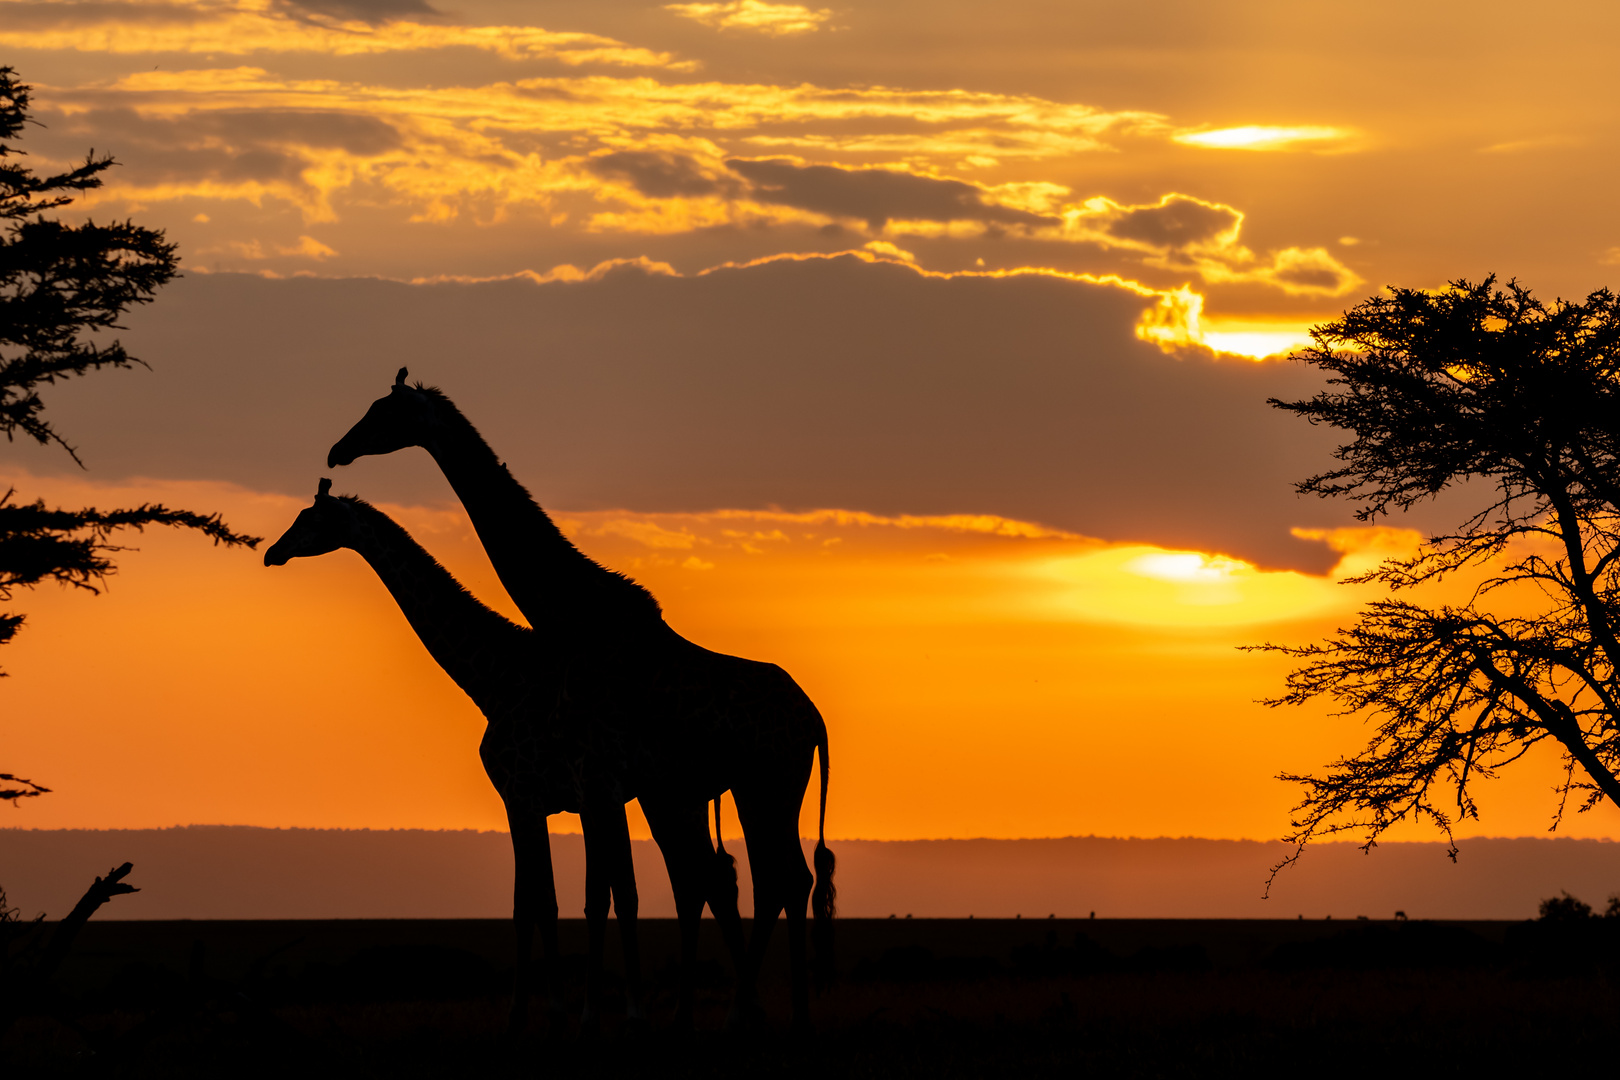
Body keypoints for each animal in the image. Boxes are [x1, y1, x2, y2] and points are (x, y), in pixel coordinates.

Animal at [327, 374, 835, 1029]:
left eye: (384, 412)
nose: (337, 450)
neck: (572, 616)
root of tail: (814, 720)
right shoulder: (609, 781)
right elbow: (609, 892)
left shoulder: (598, 775)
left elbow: (603, 895)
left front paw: (598, 1012)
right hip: (747, 787)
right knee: (762, 879)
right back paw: (749, 1007)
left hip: (767, 781)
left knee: (778, 878)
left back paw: (774, 1010)